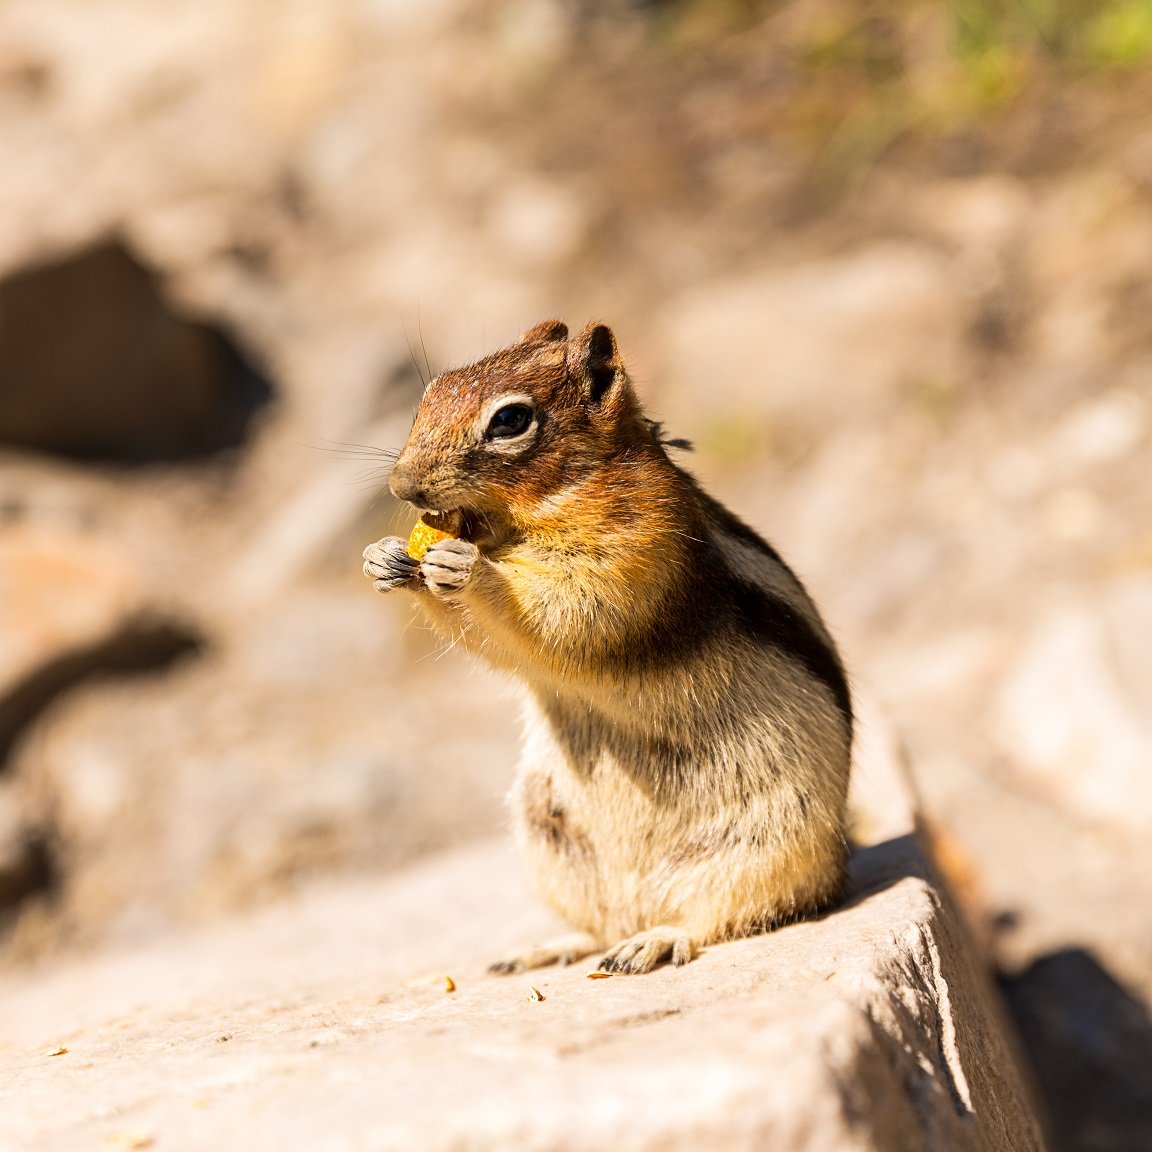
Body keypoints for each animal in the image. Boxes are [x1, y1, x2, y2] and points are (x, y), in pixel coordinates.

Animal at [364, 317, 852, 972]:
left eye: (510, 421)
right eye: (428, 395)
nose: (402, 485)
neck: (528, 520)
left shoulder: (639, 548)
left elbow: (572, 611)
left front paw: (471, 570)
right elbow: (503, 645)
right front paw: (386, 559)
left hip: (770, 841)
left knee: (722, 915)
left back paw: (654, 940)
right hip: (547, 833)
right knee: (601, 924)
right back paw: (549, 949)